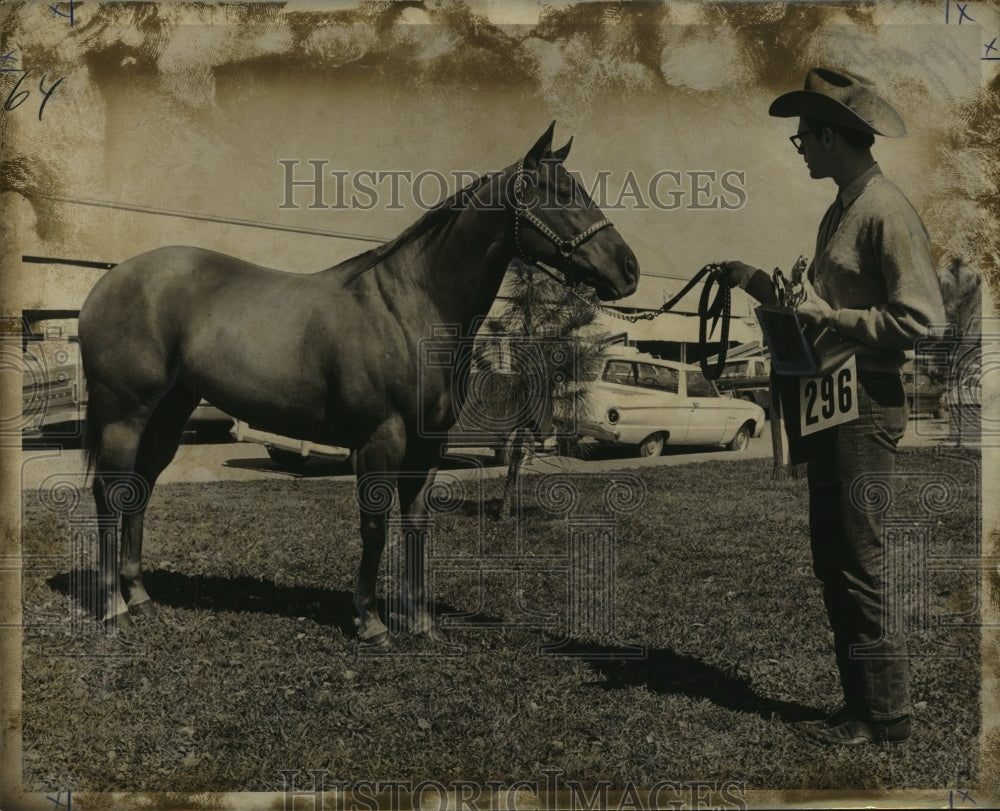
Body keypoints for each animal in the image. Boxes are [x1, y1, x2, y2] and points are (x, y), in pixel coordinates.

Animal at [80, 123, 640, 644]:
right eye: (562, 192)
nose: (629, 270)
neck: (411, 307)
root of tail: (107, 282)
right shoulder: (380, 439)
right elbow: (374, 527)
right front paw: (371, 621)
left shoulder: (427, 445)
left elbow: (415, 523)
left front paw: (420, 621)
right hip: (124, 415)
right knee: (110, 492)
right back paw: (113, 608)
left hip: (170, 413)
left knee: (141, 488)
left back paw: (141, 598)